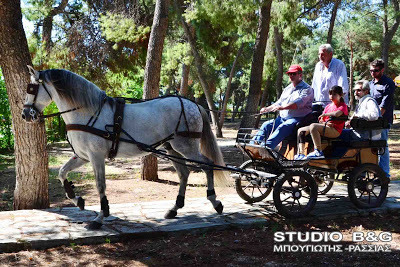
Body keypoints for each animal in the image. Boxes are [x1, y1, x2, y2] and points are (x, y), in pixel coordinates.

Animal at [21, 67, 228, 230]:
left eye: (31, 88)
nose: (25, 114)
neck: (88, 111)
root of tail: (193, 104)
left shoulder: (96, 157)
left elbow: (100, 185)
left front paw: (100, 217)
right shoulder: (82, 156)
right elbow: (62, 172)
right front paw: (77, 199)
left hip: (186, 147)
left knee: (207, 165)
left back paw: (215, 202)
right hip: (172, 149)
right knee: (184, 173)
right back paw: (174, 209)